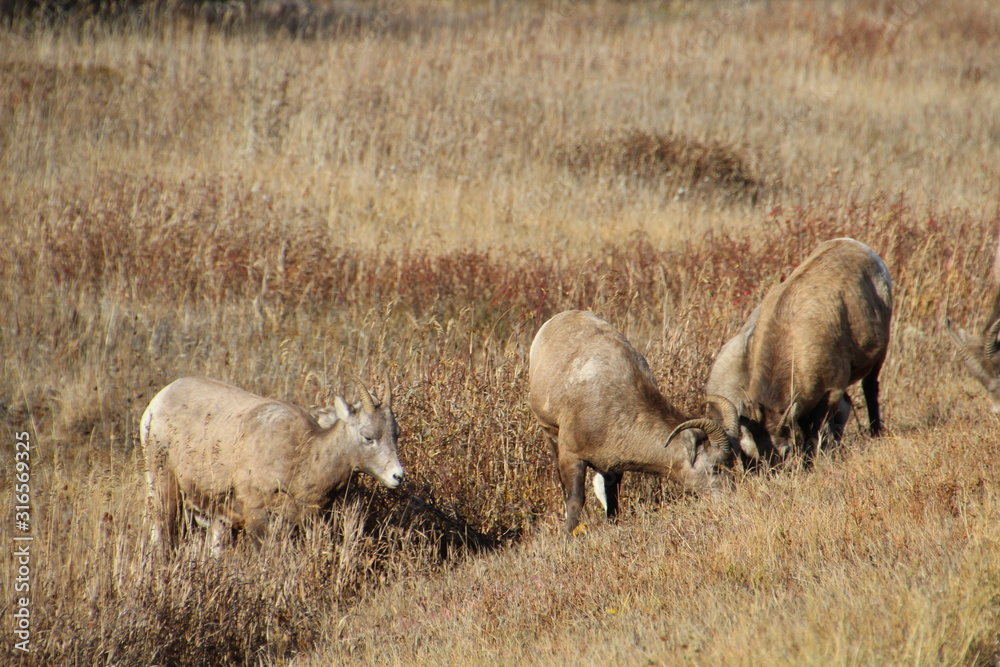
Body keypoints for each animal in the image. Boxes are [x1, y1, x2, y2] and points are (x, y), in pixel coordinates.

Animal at [142, 376, 406, 552]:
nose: (398, 476)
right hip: (163, 487)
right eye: (368, 437)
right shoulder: (256, 514)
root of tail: (156, 403)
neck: (303, 456)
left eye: (397, 434)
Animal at [528, 310, 740, 536]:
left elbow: (612, 499)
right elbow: (575, 501)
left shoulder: (612, 468)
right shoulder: (572, 457)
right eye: (715, 467)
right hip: (550, 435)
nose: (731, 501)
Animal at [736, 240, 892, 464]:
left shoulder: (831, 391)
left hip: (880, 352)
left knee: (870, 387)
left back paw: (875, 433)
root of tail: (856, 244)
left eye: (784, 452)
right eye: (749, 454)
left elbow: (814, 431)